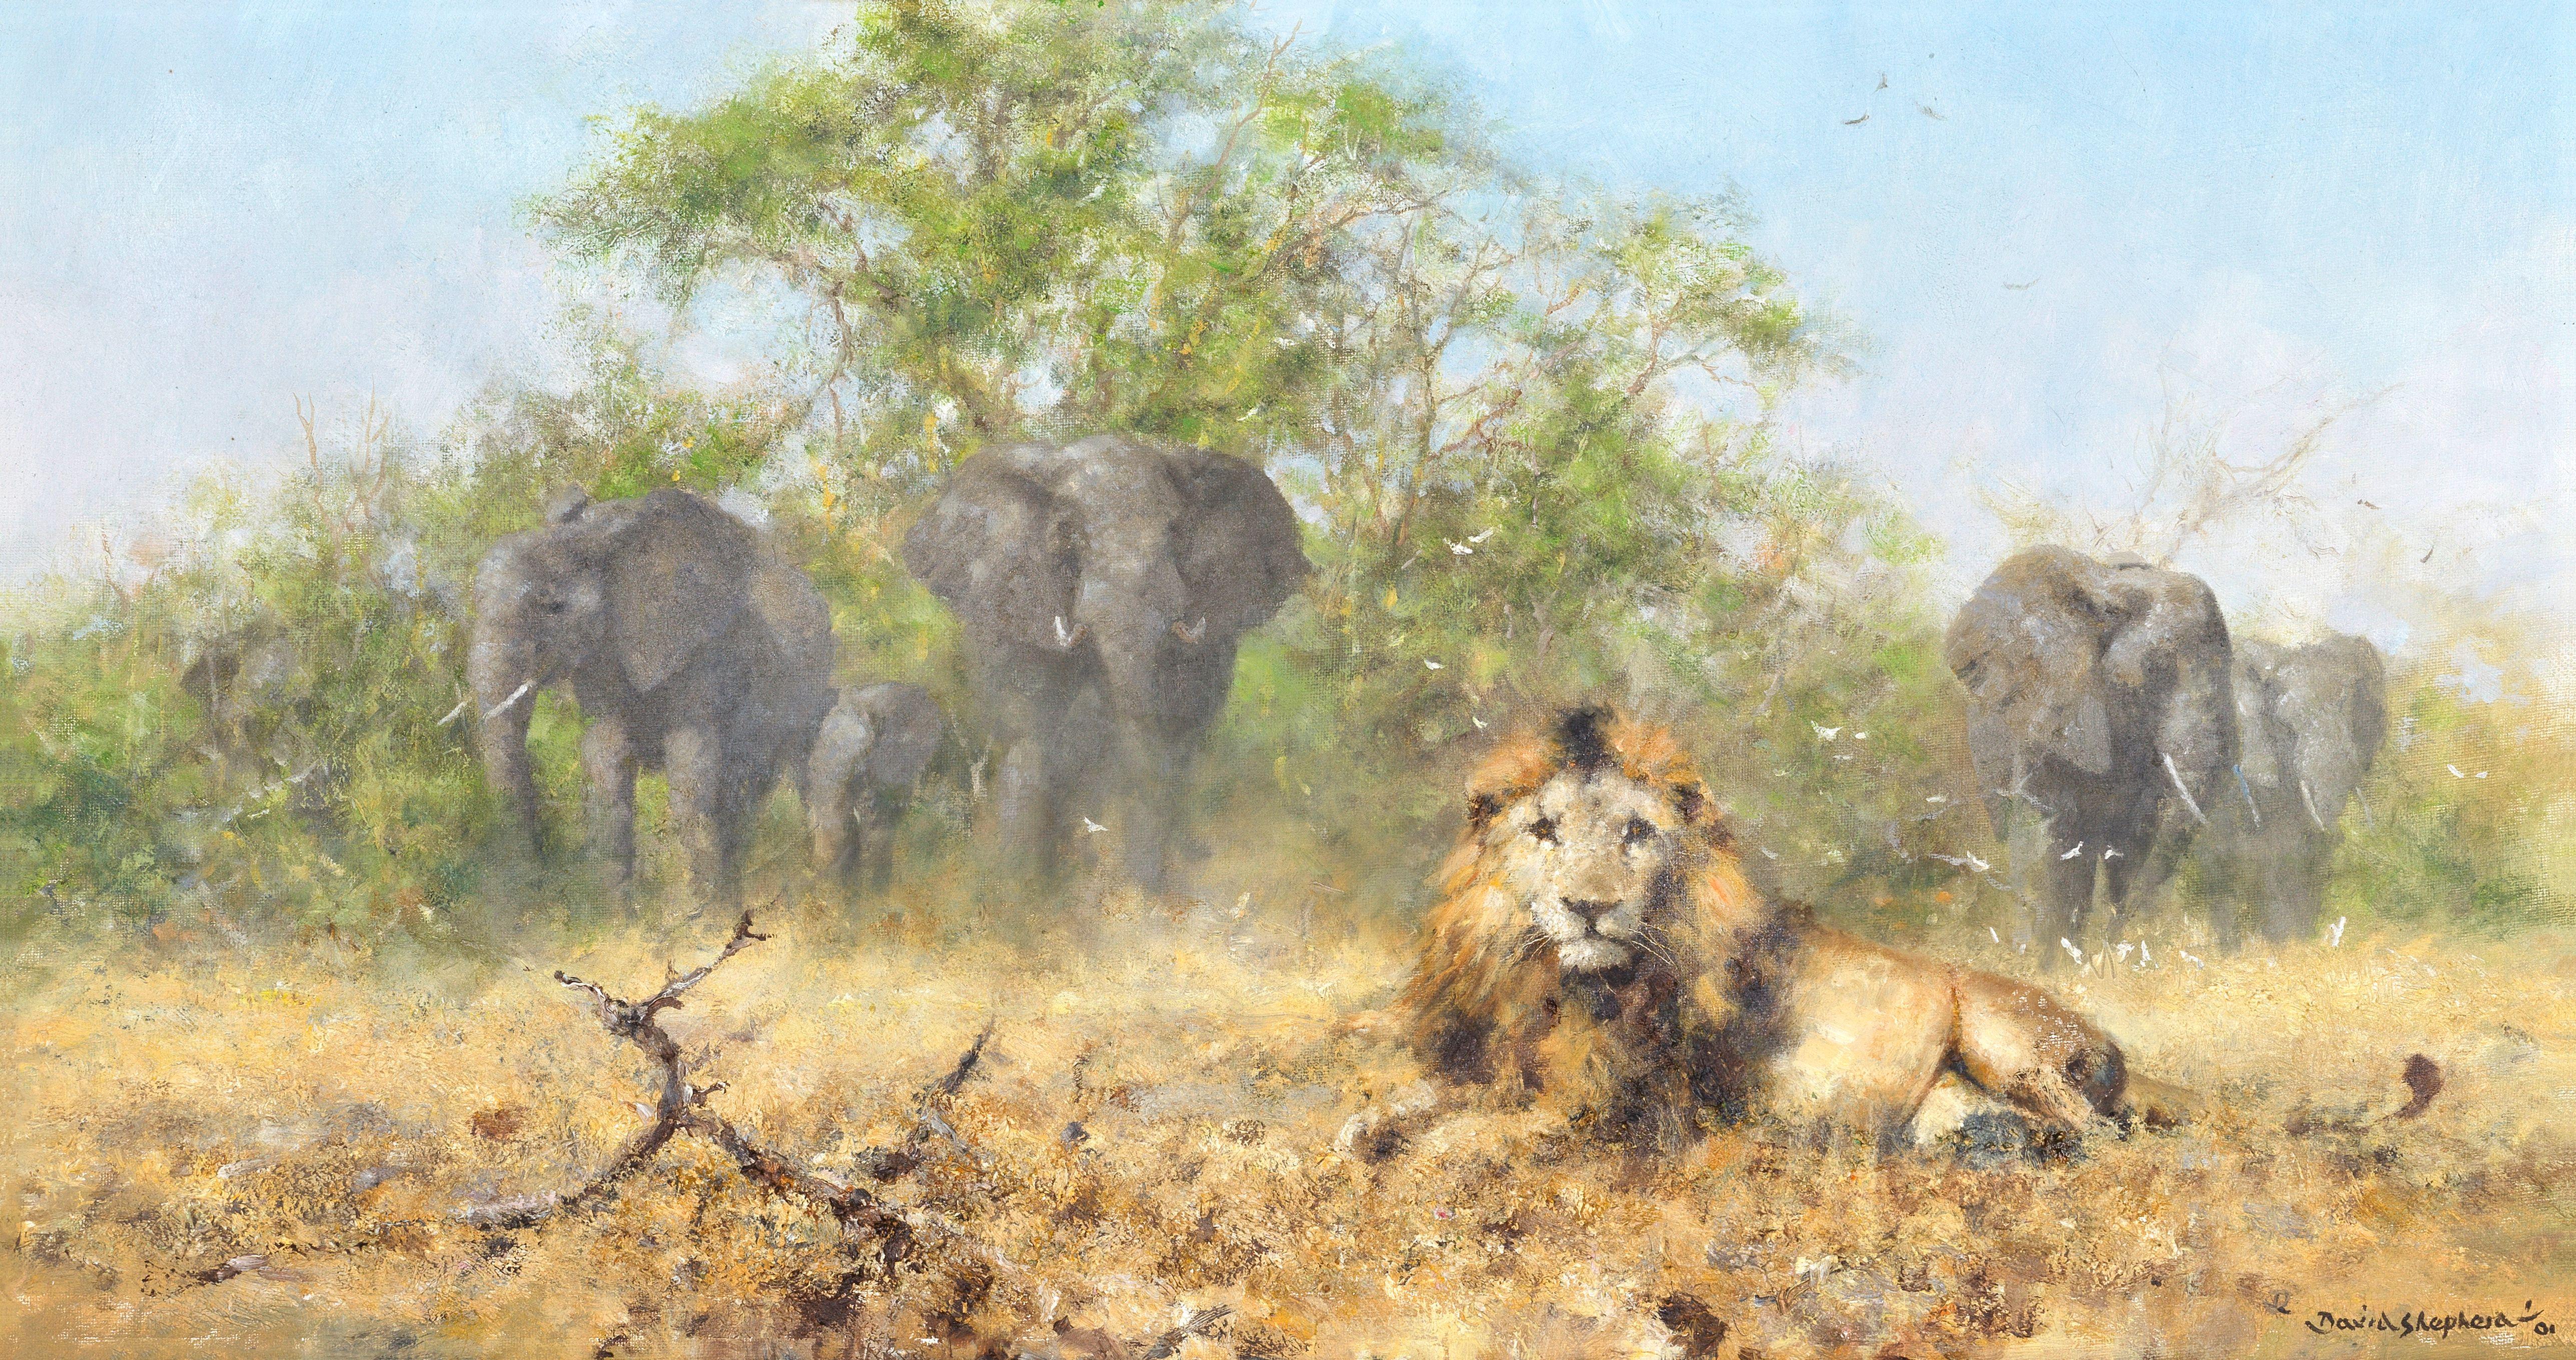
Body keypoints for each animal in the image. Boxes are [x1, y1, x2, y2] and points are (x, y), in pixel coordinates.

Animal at [468, 486, 837, 903]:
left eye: (553, 607)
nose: (538, 878)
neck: (599, 537)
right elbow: (605, 759)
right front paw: (622, 912)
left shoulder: (707, 648)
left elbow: (691, 765)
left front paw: (706, 914)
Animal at [901, 434, 1309, 890]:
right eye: (1067, 535)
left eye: (1176, 533)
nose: (1148, 886)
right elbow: (1033, 727)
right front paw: (1024, 883)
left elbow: (1174, 725)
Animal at [1398, 706, 2197, 1149]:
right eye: (1543, 830)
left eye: (1636, 833)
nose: (1588, 906)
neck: (1556, 985)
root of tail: (2114, 1050)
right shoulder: (1484, 1063)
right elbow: (1419, 1101)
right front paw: (1383, 1121)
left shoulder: (1629, 1108)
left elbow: (1474, 1135)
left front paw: (1427, 1146)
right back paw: (1982, 1139)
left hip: (1998, 1033)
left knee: (2098, 1133)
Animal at [1945, 546, 2238, 961]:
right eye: (2157, 671)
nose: (2113, 939)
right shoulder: (2047, 705)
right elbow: (2063, 832)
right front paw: (2058, 961)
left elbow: (2133, 835)